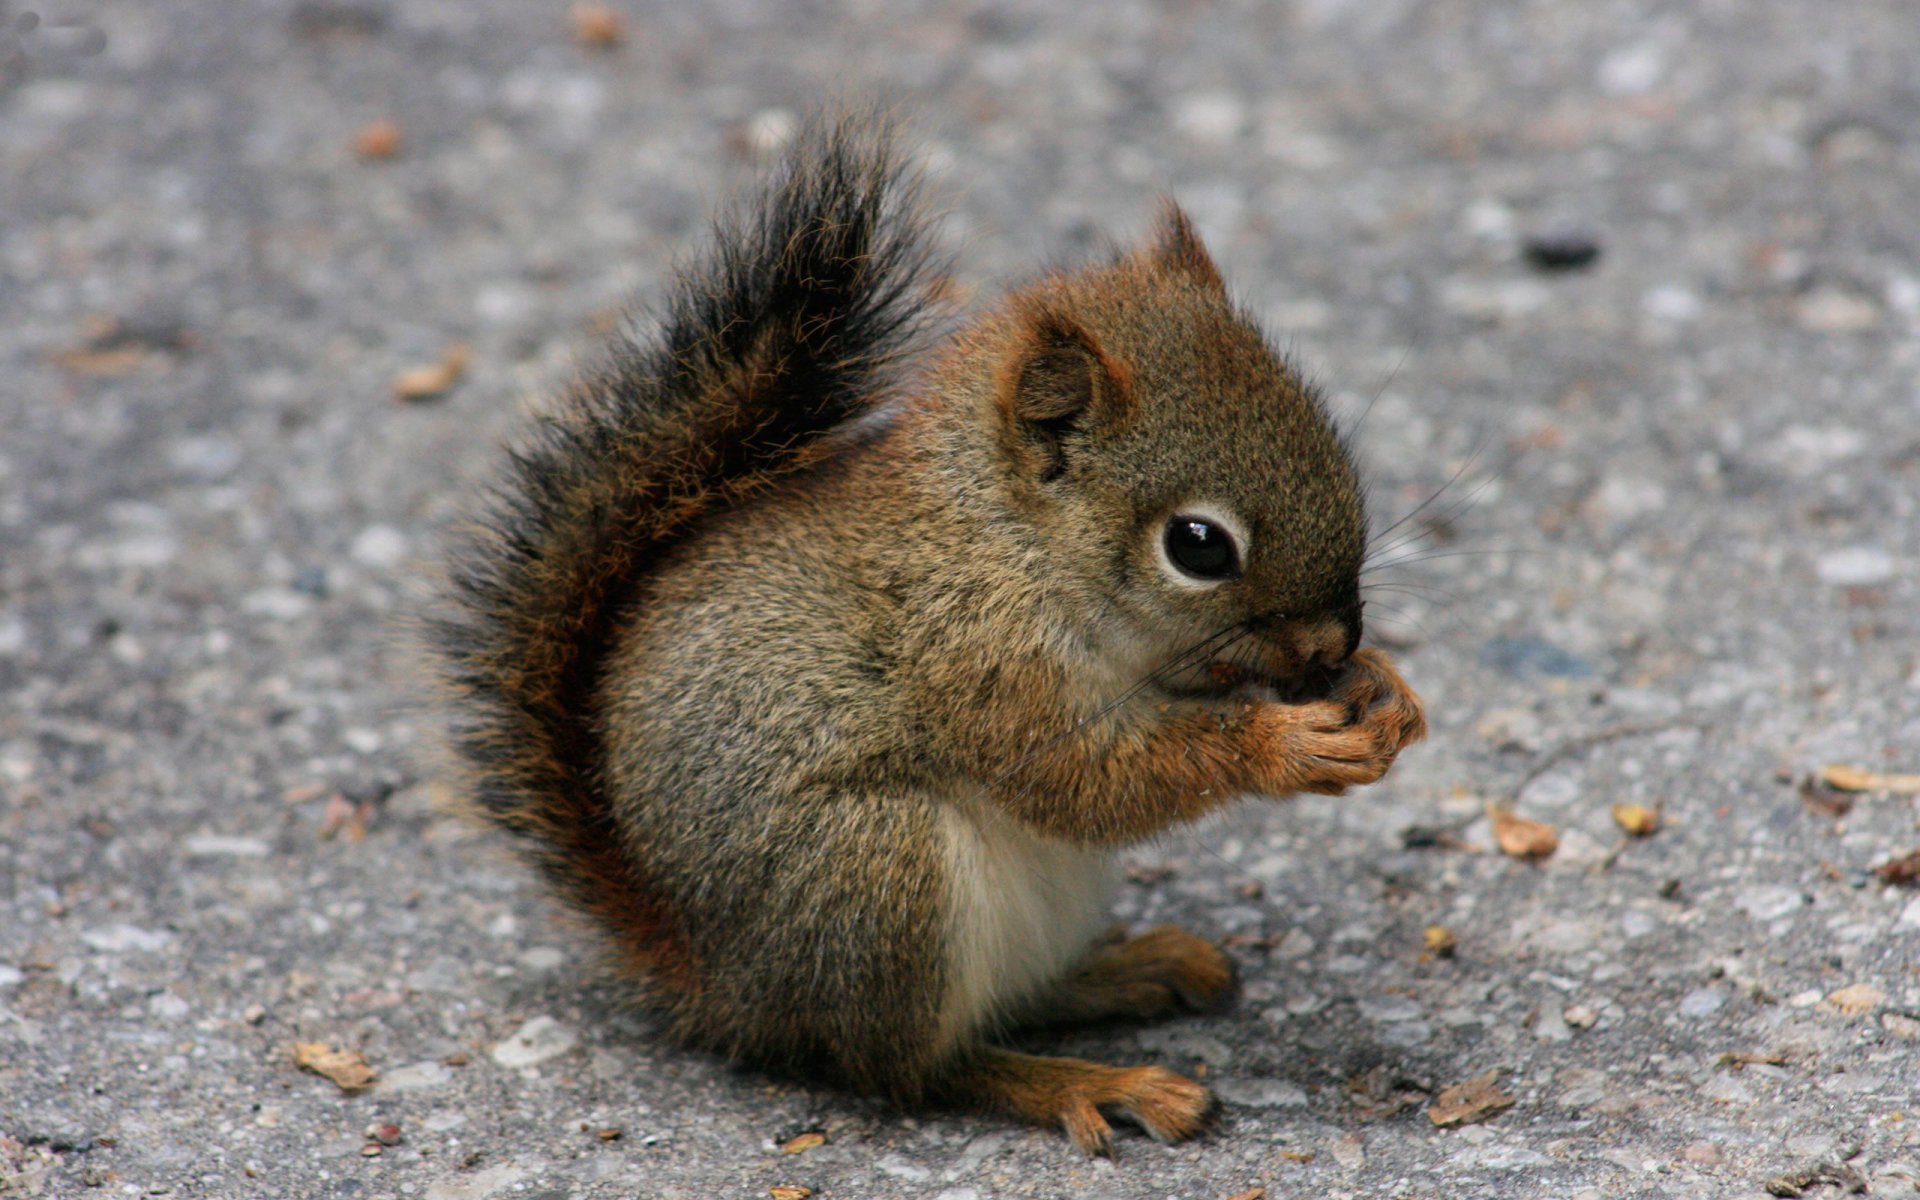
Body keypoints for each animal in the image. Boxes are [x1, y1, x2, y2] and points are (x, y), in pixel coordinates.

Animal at [430, 115, 1426, 1156]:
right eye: (1198, 546)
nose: (1331, 645)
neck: (1010, 539)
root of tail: (722, 985)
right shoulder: (977, 658)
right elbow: (1082, 780)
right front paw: (1287, 744)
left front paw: (1384, 691)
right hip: (875, 875)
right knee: (912, 1069)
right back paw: (1086, 1082)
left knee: (1010, 1004)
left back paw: (1128, 970)